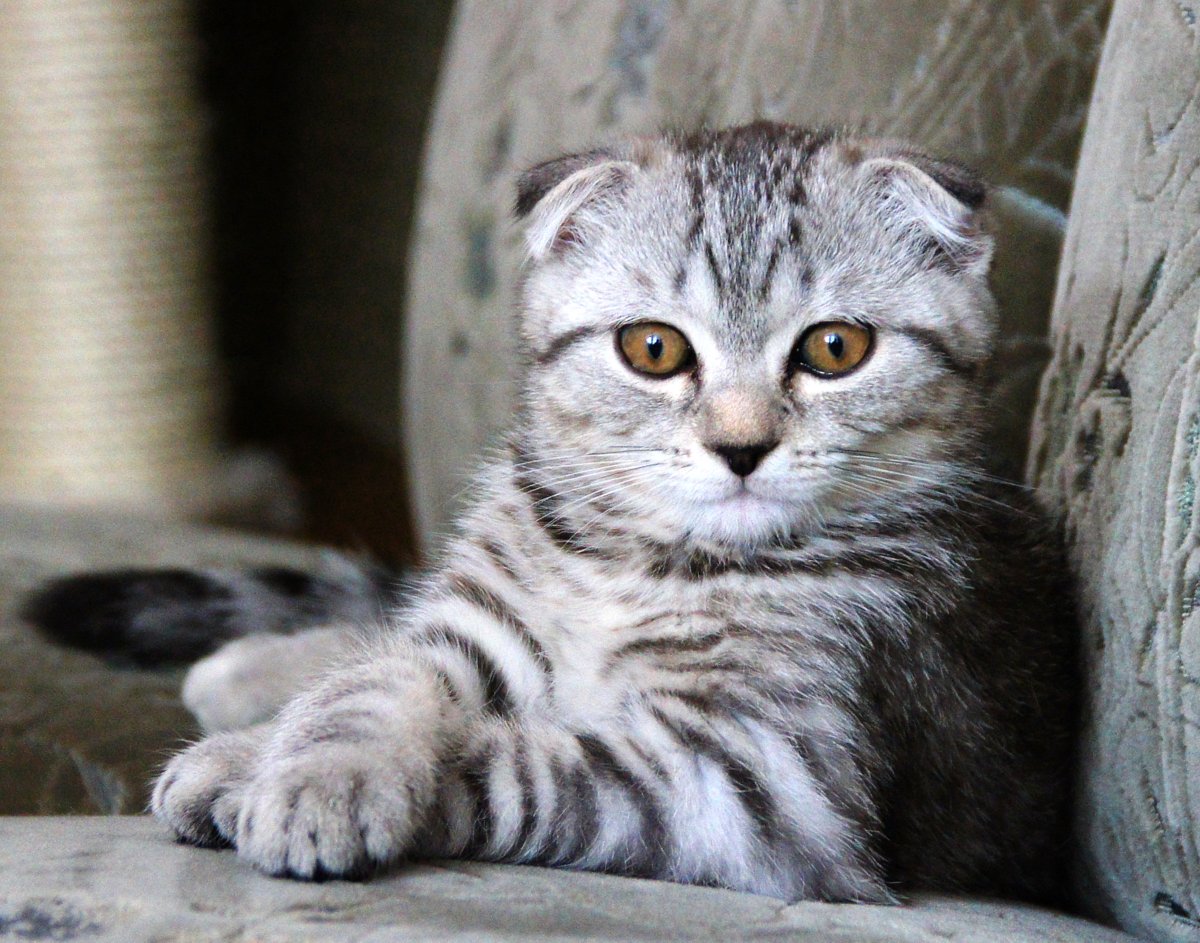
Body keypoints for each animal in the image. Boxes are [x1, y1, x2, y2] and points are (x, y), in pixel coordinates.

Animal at [28, 121, 1084, 902]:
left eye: (835, 348)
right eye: (654, 349)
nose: (741, 447)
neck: (645, 559)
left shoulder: (761, 779)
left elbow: (517, 756)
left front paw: (282, 781)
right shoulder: (486, 615)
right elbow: (378, 679)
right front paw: (300, 758)